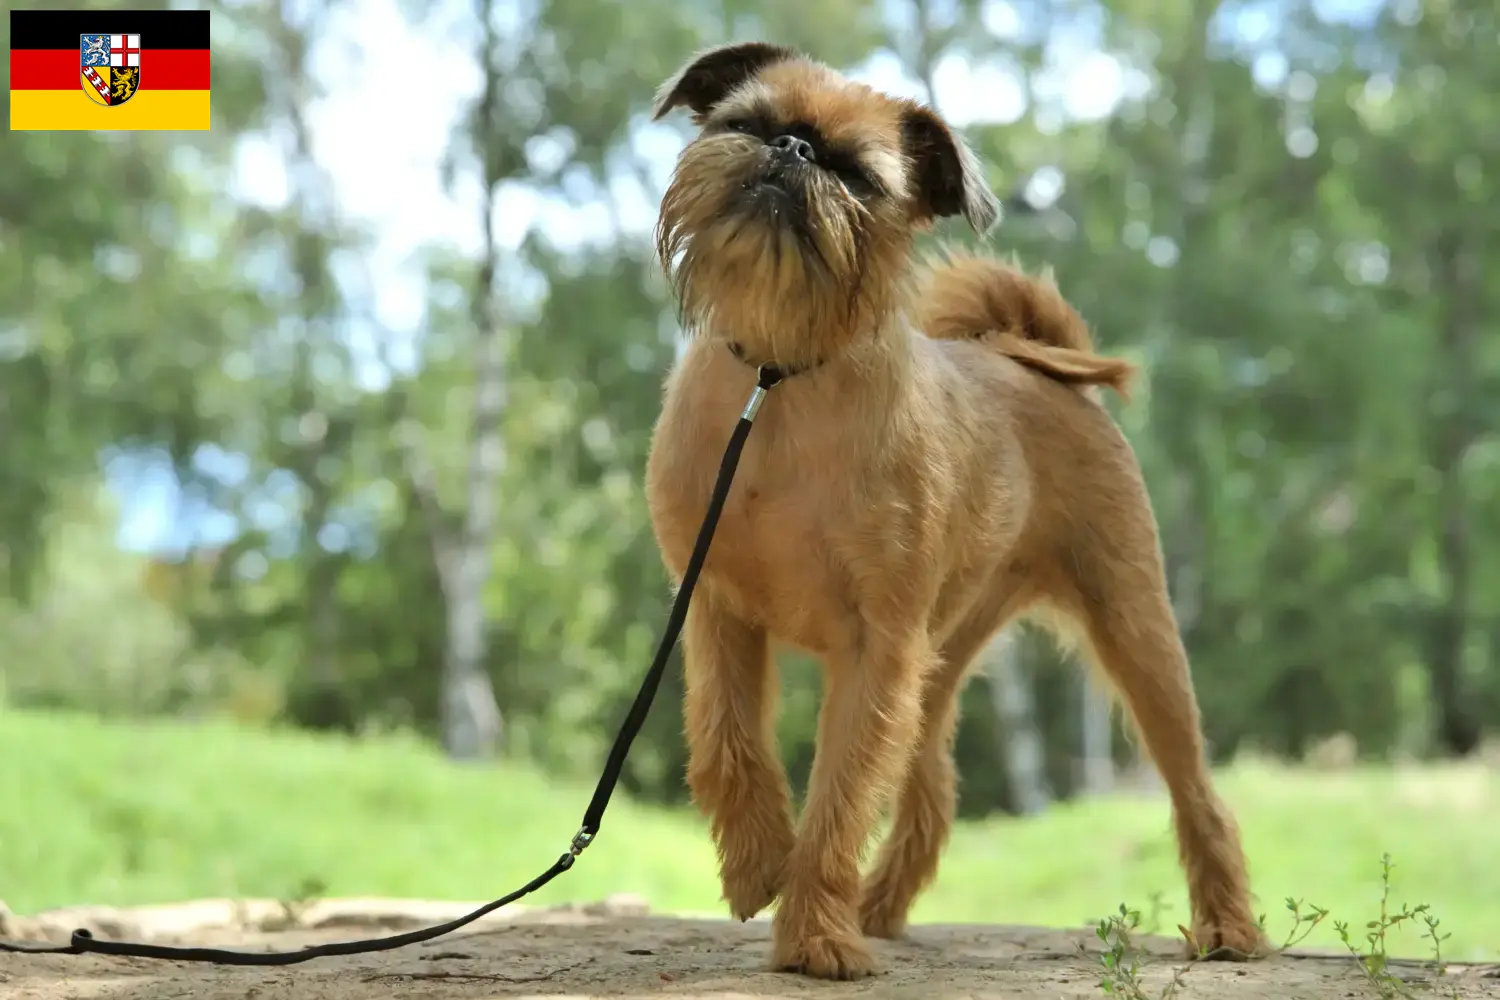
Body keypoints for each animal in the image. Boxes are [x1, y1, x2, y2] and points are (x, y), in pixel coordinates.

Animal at [645, 43, 1266, 983]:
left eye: (859, 177)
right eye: (744, 123)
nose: (792, 149)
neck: (780, 381)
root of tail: (1024, 353)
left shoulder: (875, 648)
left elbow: (840, 793)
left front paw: (817, 936)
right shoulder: (718, 609)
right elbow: (728, 744)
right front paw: (758, 866)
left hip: (1136, 631)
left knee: (1197, 790)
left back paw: (1229, 928)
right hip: (940, 655)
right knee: (930, 787)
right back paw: (879, 908)